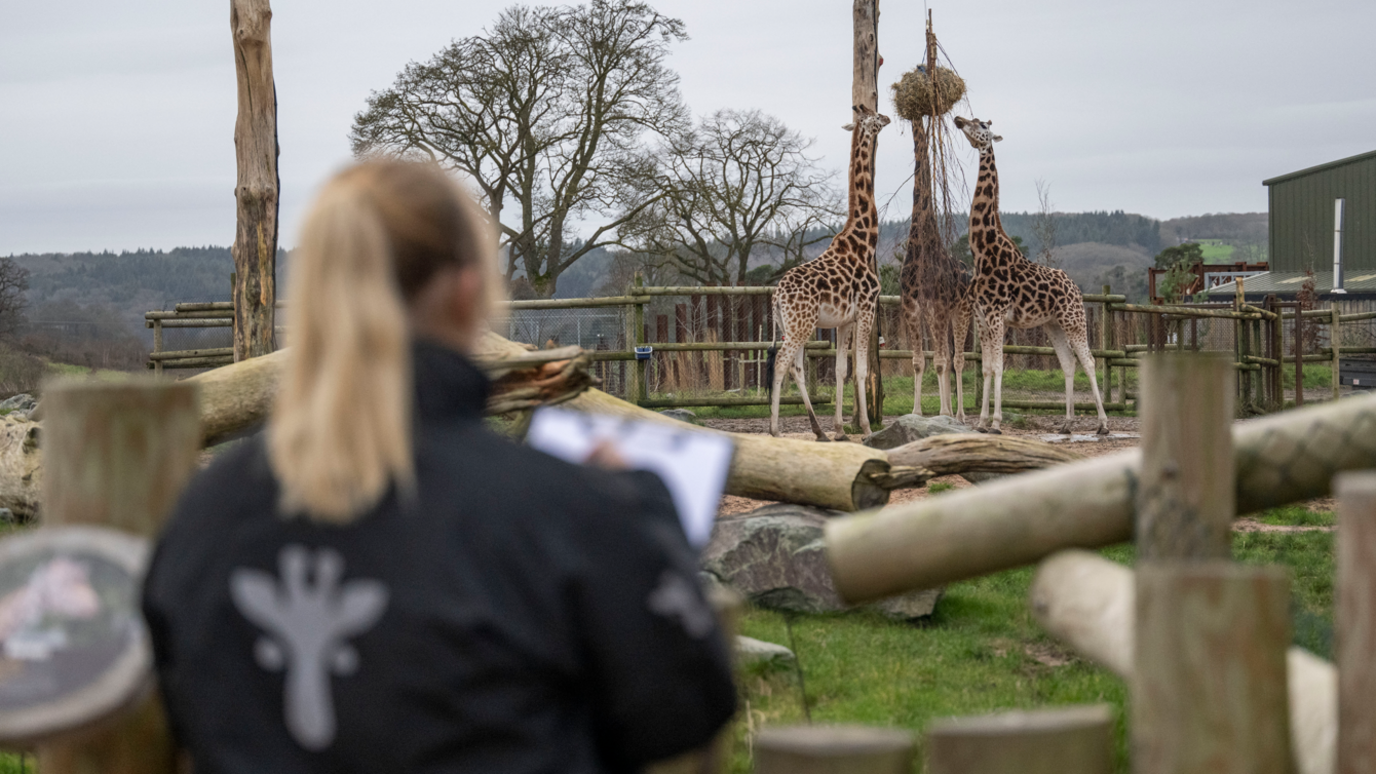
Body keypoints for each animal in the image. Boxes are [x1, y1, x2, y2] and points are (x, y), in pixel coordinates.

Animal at [770, 103, 886, 440]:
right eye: (875, 117)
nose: (888, 117)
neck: (864, 241)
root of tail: (776, 297)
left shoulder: (843, 321)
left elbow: (840, 370)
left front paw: (839, 429)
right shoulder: (867, 309)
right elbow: (861, 369)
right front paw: (866, 428)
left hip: (793, 325)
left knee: (796, 367)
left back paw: (818, 430)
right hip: (802, 325)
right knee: (781, 363)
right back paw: (774, 429)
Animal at [897, 111, 974, 418]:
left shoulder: (938, 307)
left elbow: (940, 362)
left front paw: (942, 414)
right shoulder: (912, 306)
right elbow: (920, 361)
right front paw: (918, 413)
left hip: (962, 312)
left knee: (958, 359)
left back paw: (960, 415)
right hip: (942, 315)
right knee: (949, 356)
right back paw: (951, 412)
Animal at [957, 117, 1106, 437]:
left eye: (981, 124)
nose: (958, 120)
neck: (982, 252)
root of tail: (1077, 288)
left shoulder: (997, 316)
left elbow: (999, 367)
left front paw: (996, 423)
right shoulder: (981, 317)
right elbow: (986, 368)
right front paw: (981, 422)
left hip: (1074, 319)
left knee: (1088, 361)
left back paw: (1103, 424)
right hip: (1053, 324)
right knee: (1068, 363)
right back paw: (1066, 423)